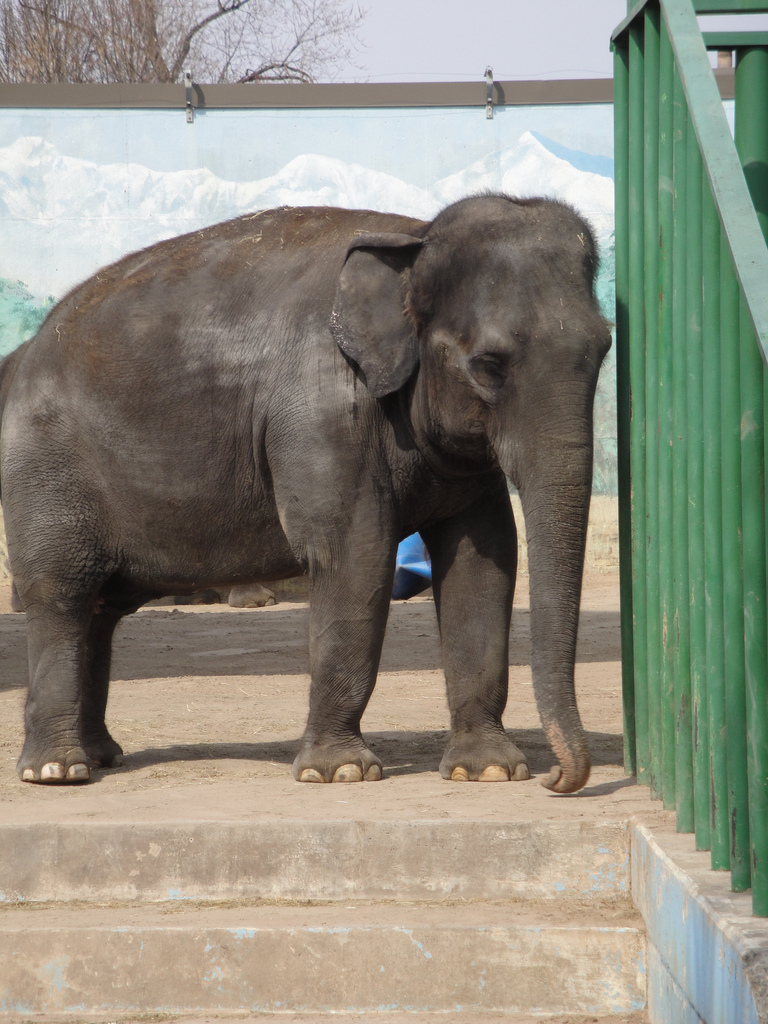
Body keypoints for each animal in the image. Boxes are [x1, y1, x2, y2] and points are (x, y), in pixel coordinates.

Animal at [0, 195, 611, 792]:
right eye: (488, 365)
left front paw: (487, 771)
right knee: (61, 593)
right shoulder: (321, 411)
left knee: (101, 608)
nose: (556, 777)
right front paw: (340, 773)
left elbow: (483, 561)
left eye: (605, 348)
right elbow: (356, 554)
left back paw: (101, 757)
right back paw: (56, 771)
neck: (416, 237)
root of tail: (27, 353)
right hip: (45, 470)